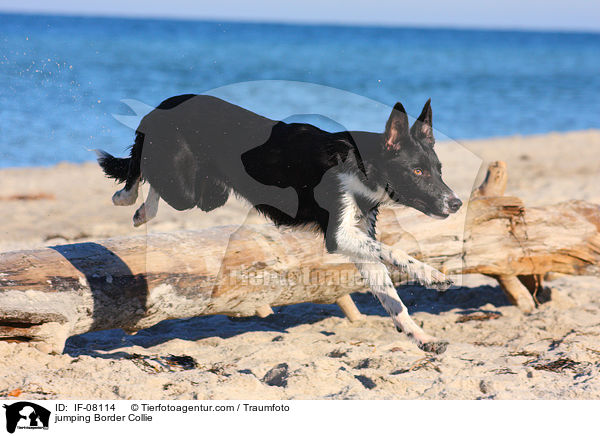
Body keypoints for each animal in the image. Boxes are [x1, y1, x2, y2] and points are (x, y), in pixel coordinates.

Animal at [99, 93, 464, 352]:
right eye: (417, 171)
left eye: (439, 170)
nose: (456, 203)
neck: (364, 164)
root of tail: (165, 103)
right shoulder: (338, 235)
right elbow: (396, 252)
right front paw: (431, 274)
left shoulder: (358, 240)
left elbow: (391, 298)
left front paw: (419, 335)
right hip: (183, 185)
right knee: (141, 163)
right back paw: (125, 198)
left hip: (208, 194)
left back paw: (140, 211)